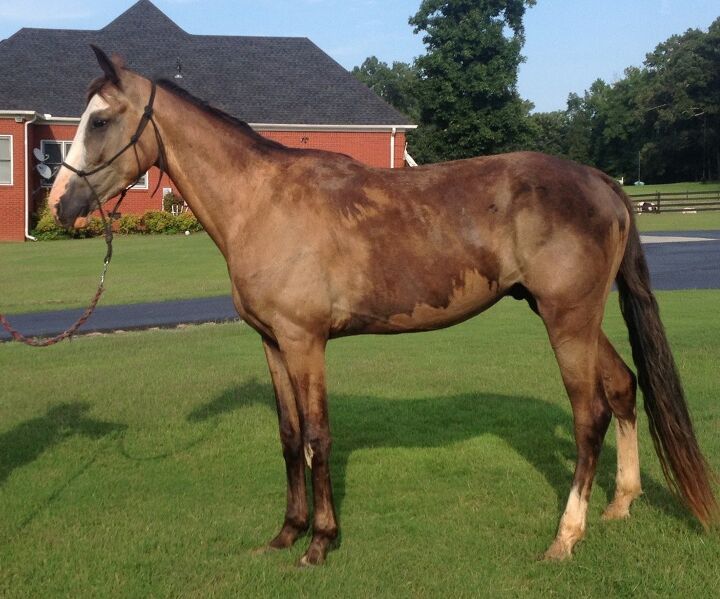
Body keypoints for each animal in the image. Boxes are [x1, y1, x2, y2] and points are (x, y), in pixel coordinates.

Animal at [49, 46, 717, 566]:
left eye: (100, 121)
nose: (60, 205)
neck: (261, 202)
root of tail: (600, 181)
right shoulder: (272, 343)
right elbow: (288, 437)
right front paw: (284, 535)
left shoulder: (305, 342)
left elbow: (318, 435)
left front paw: (320, 543)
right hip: (572, 316)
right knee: (624, 387)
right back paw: (620, 505)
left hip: (567, 322)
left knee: (589, 416)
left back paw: (566, 537)